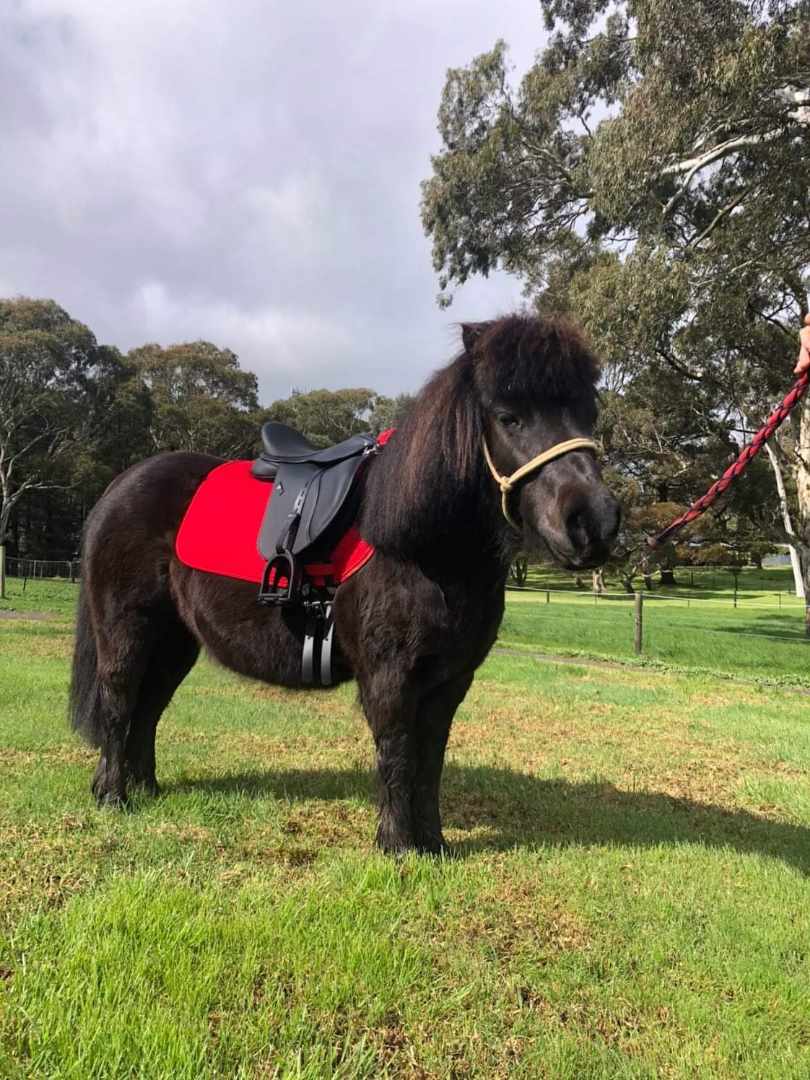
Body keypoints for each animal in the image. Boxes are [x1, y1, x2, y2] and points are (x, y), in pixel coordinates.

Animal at [69, 314, 620, 854]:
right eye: (509, 417)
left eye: (588, 413)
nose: (593, 522)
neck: (418, 544)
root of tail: (118, 488)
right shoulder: (391, 676)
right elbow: (397, 754)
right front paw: (397, 845)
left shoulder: (450, 681)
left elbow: (431, 761)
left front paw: (434, 843)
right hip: (127, 628)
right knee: (119, 699)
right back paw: (113, 796)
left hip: (175, 640)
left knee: (149, 706)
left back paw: (145, 788)